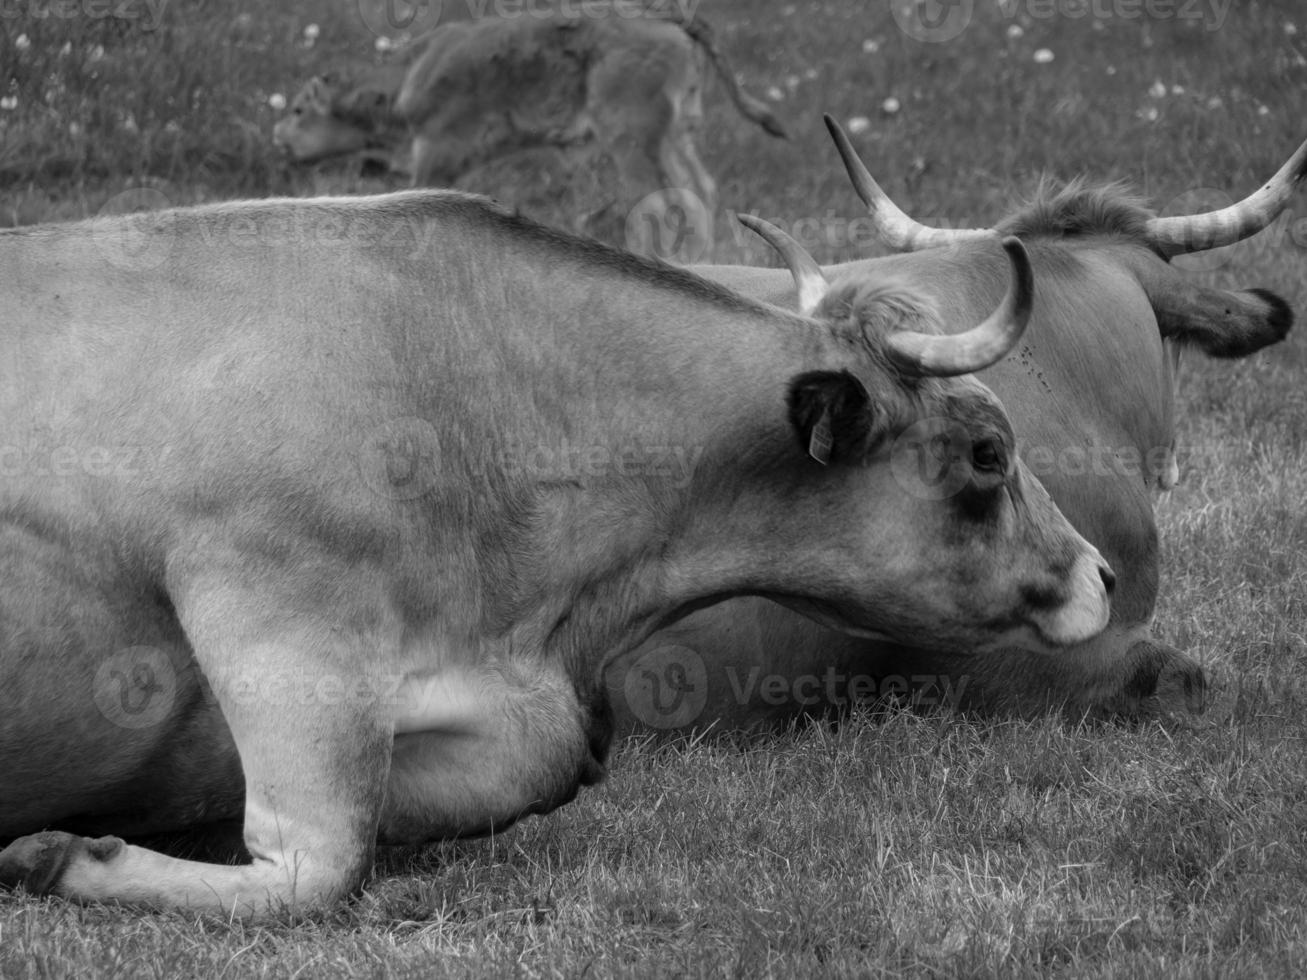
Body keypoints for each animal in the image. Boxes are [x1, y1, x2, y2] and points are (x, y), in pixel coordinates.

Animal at [271, 4, 784, 249]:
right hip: (677, 134)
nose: (279, 139)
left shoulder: (437, 152)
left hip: (633, 139)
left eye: (298, 111)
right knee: (700, 189)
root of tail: (661, 16)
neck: (410, 76)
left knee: (660, 199)